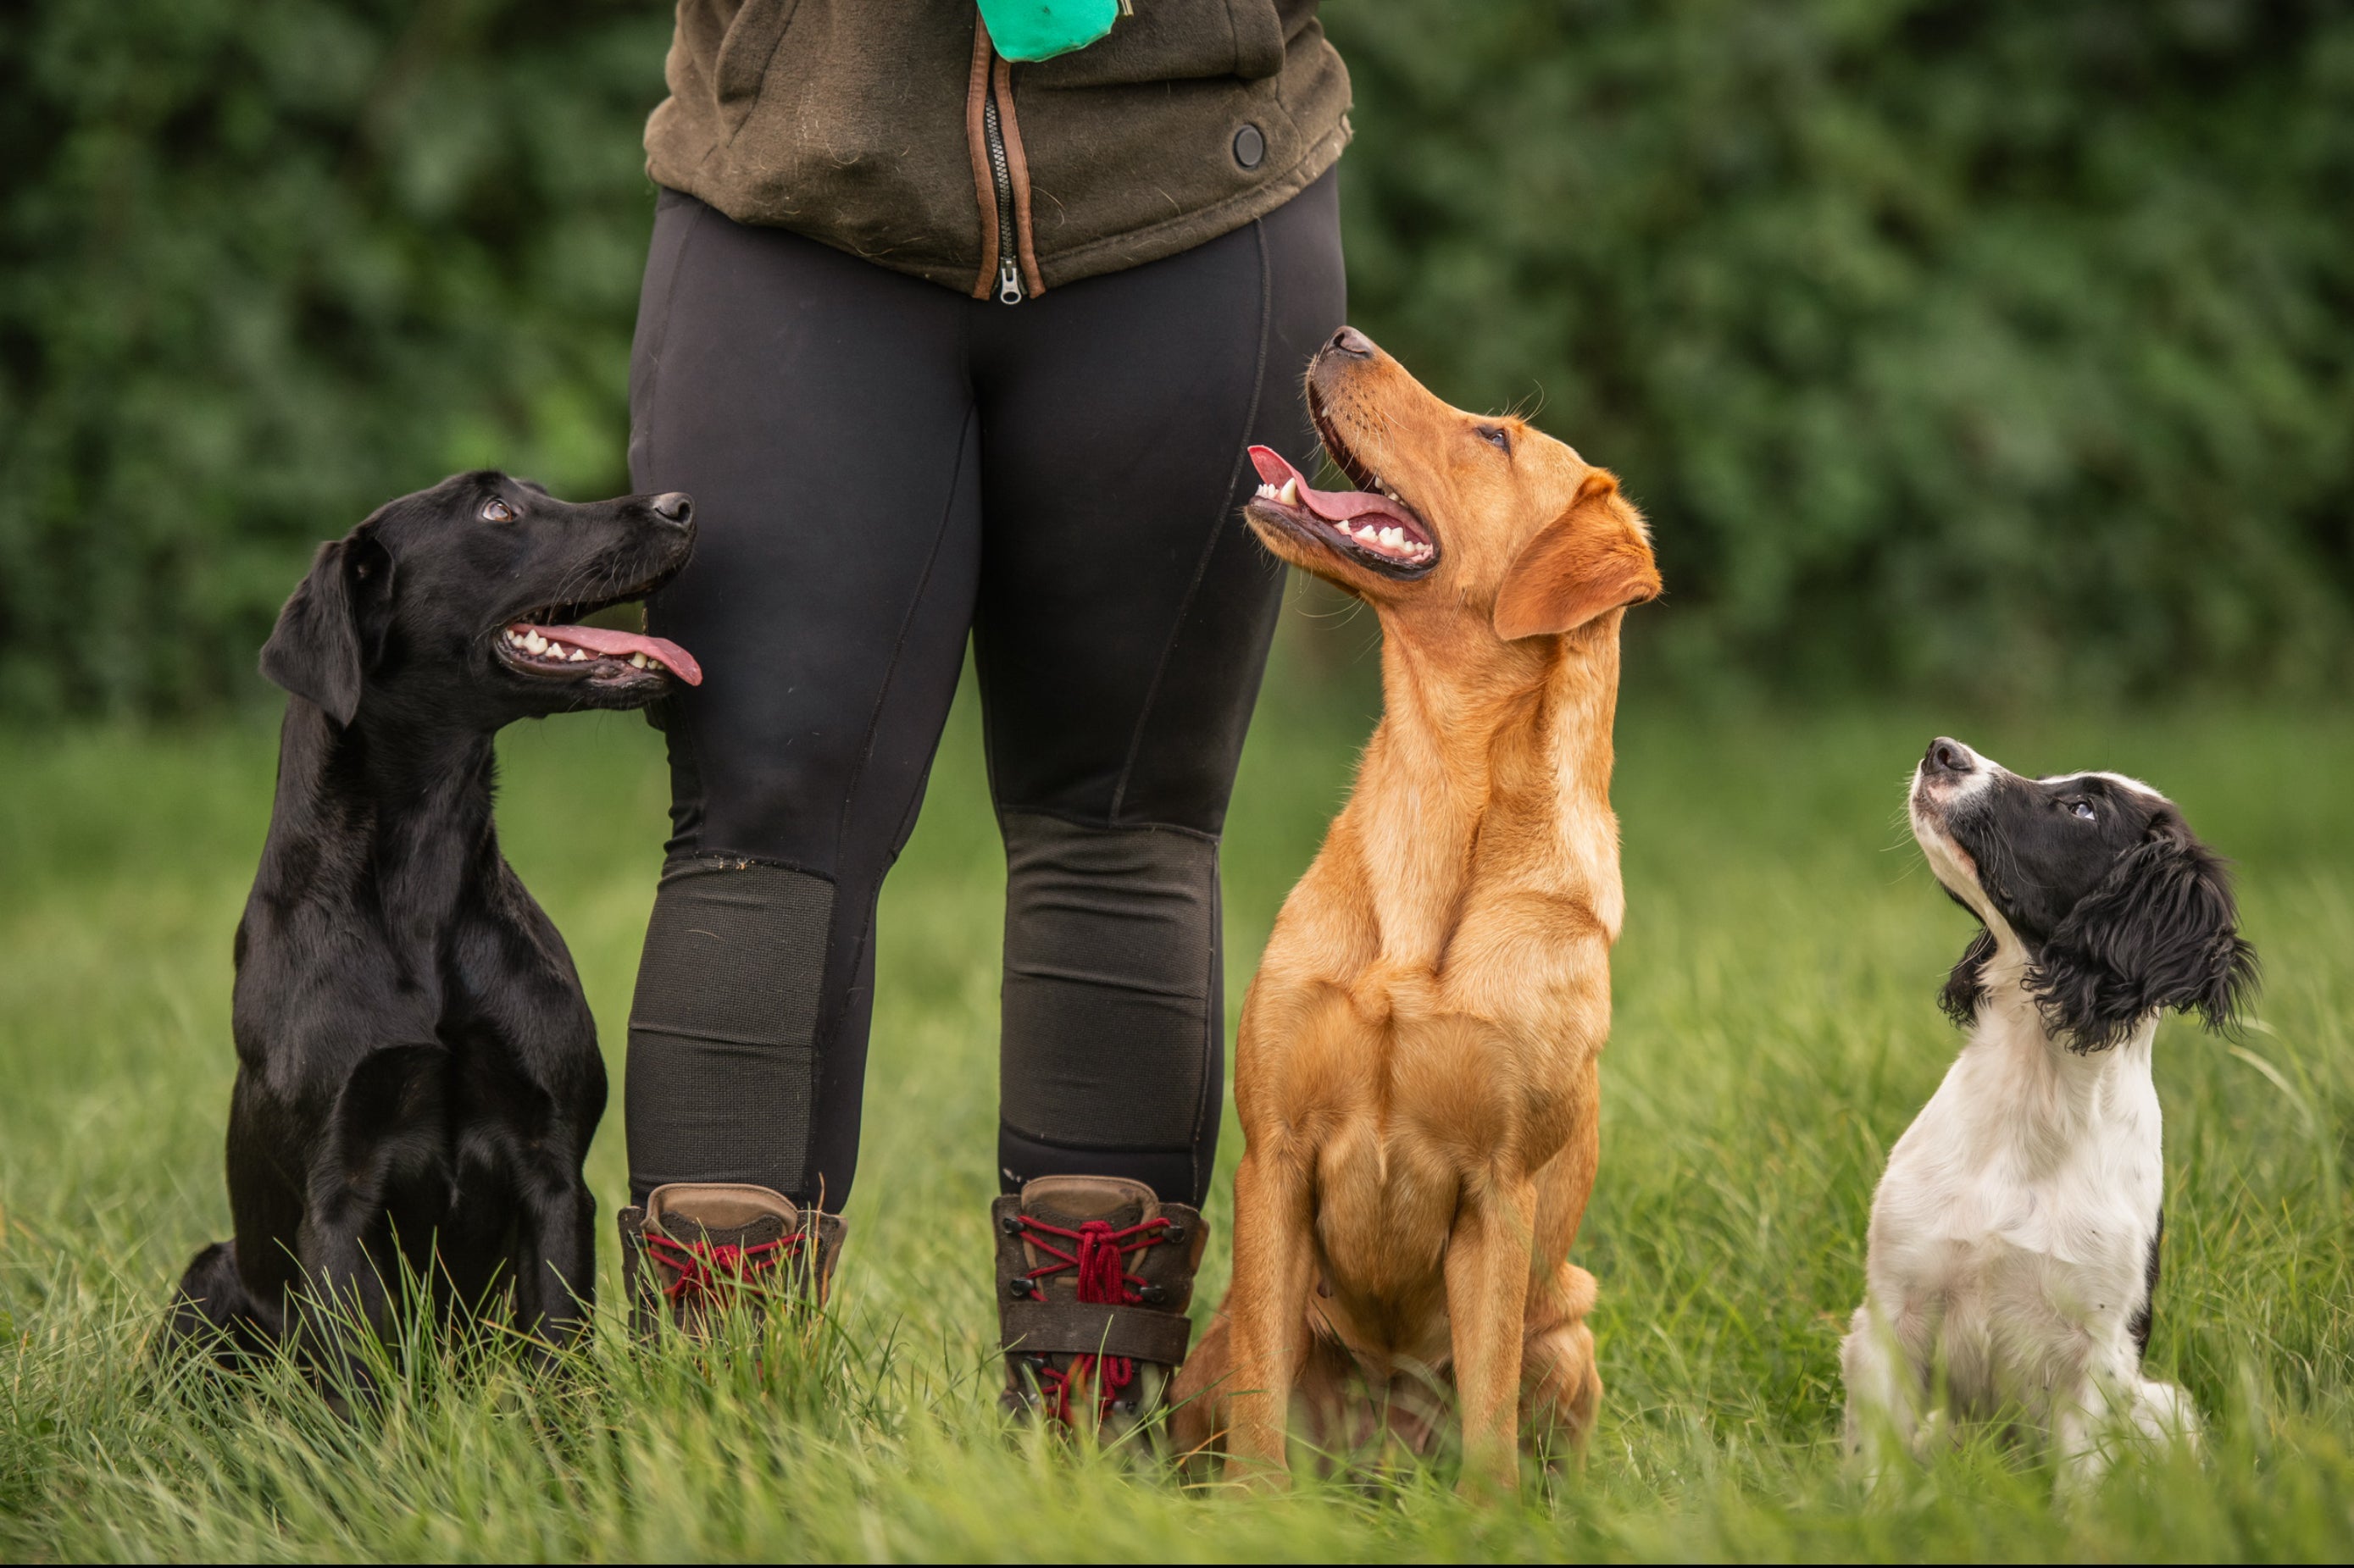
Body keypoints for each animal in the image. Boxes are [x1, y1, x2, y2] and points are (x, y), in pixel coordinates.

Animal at [1845, 739, 2250, 1488]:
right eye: (2050, 780)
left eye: (2083, 808)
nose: (1941, 750)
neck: (2034, 1092)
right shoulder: (1891, 1314)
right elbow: (1876, 1471)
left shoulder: (2096, 1355)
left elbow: (2080, 1492)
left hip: (2161, 1404)